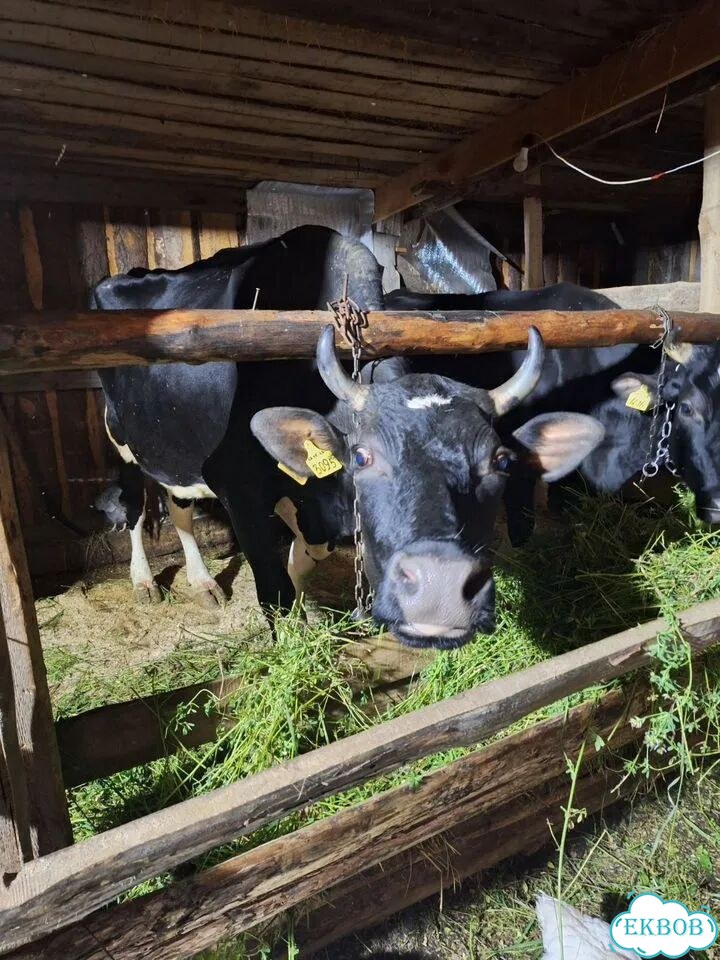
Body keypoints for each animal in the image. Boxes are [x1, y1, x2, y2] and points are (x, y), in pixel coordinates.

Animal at [92, 227, 604, 648]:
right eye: (363, 458)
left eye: (499, 461)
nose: (440, 588)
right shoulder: (237, 485)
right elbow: (274, 588)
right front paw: (291, 646)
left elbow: (301, 562)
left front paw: (311, 615)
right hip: (120, 436)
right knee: (136, 505)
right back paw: (144, 582)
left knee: (179, 504)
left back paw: (202, 583)